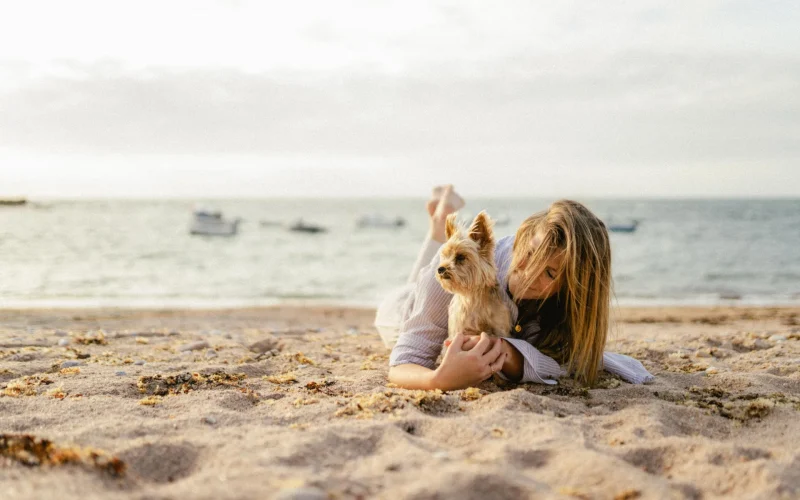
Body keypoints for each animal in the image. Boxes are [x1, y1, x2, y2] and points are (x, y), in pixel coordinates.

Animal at [438, 211, 512, 340]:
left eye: (460, 257)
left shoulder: (500, 329)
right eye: (445, 256)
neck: (472, 296)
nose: (440, 269)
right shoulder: (458, 330)